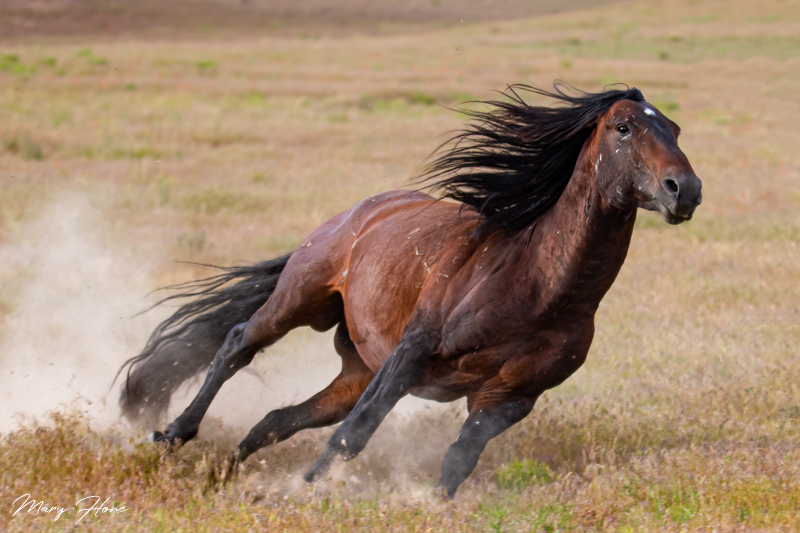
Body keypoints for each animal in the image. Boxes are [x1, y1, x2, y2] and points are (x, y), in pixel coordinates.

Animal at [118, 83, 702, 498]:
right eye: (624, 126)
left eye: (675, 128)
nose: (686, 191)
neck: (538, 287)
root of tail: (358, 212)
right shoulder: (413, 353)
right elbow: (356, 433)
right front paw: (303, 493)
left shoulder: (510, 398)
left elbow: (458, 459)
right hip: (300, 299)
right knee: (238, 344)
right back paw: (173, 435)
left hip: (357, 367)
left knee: (277, 419)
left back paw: (223, 476)